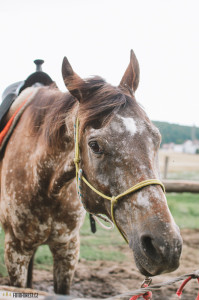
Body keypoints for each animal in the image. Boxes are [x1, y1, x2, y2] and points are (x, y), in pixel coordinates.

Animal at [0, 49, 182, 296]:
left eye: (156, 138)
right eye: (94, 146)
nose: (166, 246)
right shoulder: (15, 251)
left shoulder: (67, 249)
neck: (46, 187)